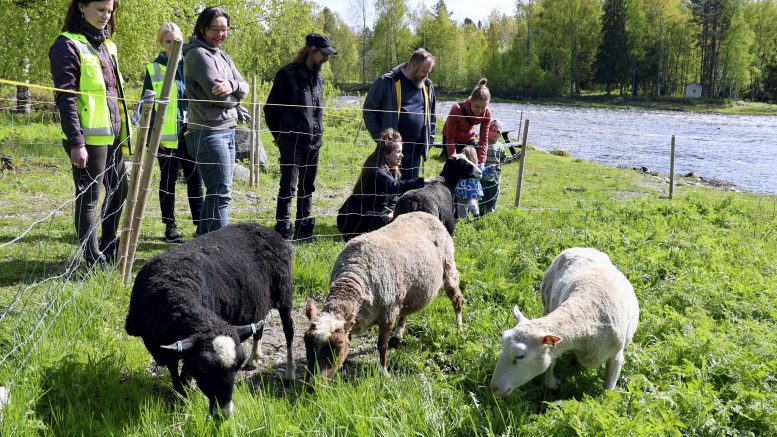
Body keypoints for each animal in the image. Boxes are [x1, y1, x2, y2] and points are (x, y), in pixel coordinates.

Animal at [126, 223, 296, 418]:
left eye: (236, 365)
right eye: (204, 368)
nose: (225, 413)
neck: (174, 287)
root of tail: (266, 229)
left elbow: (184, 375)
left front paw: (184, 400)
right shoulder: (165, 348)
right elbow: (175, 372)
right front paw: (179, 398)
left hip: (284, 293)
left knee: (289, 330)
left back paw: (290, 372)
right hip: (260, 301)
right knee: (259, 326)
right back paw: (254, 358)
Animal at [302, 211, 460, 374]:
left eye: (338, 344)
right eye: (306, 340)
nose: (314, 380)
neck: (353, 278)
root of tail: (426, 214)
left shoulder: (388, 315)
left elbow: (381, 346)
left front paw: (384, 371)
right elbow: (350, 339)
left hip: (448, 269)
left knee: (457, 299)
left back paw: (459, 330)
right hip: (406, 292)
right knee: (405, 312)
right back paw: (397, 336)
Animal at [492, 245, 636, 396]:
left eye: (520, 356)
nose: (493, 388)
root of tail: (582, 247)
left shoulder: (616, 357)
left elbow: (608, 392)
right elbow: (551, 363)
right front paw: (553, 384)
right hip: (546, 304)